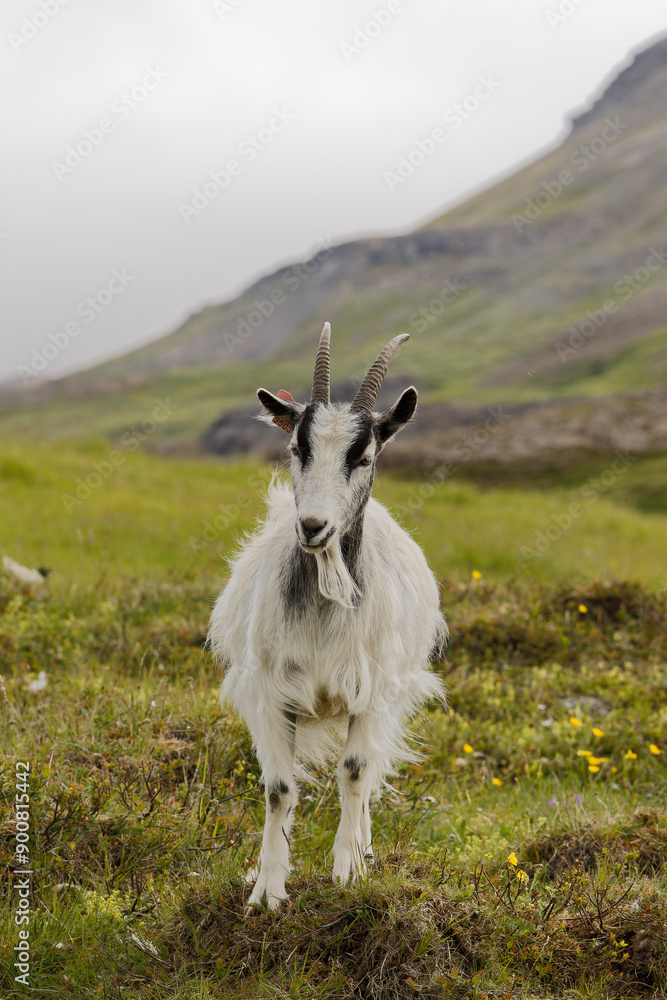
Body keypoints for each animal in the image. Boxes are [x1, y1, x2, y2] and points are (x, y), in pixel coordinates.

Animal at [208, 323, 447, 909]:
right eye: (298, 447)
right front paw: (267, 889)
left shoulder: (371, 689)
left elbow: (355, 773)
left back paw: (364, 850)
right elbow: (279, 789)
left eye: (363, 456)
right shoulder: (272, 692)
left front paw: (347, 872)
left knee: (367, 771)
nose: (313, 526)